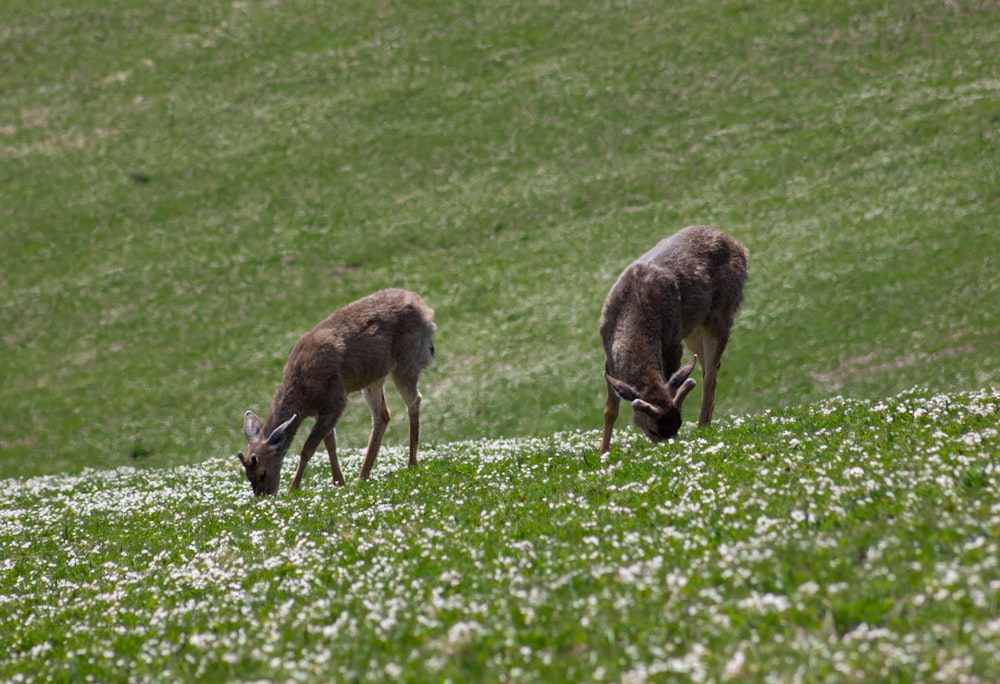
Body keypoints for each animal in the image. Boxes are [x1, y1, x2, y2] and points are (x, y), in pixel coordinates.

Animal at [240, 286, 436, 494]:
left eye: (263, 472)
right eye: (247, 476)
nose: (264, 495)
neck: (304, 397)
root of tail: (427, 311)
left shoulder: (335, 400)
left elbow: (308, 448)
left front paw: (293, 488)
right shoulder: (324, 409)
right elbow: (330, 444)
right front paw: (338, 482)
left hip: (407, 361)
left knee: (414, 399)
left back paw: (411, 464)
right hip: (373, 377)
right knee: (383, 414)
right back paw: (362, 475)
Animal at [596, 224, 748, 456]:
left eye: (679, 424)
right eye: (653, 430)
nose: (672, 450)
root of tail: (739, 245)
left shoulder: (672, 342)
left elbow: (672, 382)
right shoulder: (608, 354)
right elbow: (610, 409)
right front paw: (603, 452)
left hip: (721, 314)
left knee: (711, 374)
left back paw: (703, 426)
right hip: (693, 329)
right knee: (709, 368)